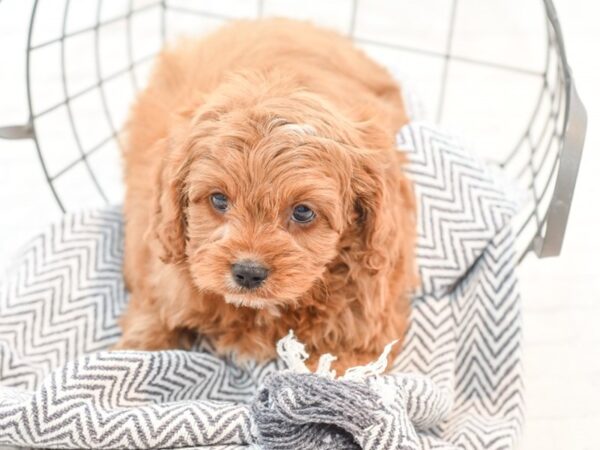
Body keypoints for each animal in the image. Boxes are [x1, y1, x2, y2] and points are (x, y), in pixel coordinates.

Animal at [117, 17, 418, 370]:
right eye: (219, 199)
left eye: (303, 211)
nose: (248, 273)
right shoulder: (161, 286)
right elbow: (146, 332)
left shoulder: (366, 328)